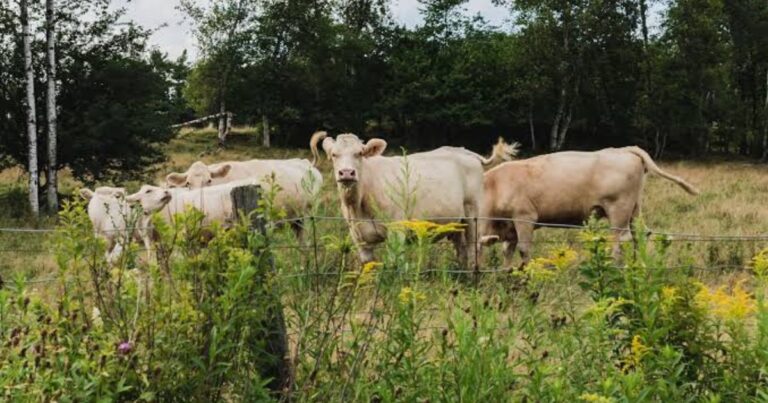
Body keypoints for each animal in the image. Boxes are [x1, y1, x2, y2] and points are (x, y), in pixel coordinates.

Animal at [310, 131, 517, 267]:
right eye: (334, 155)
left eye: (359, 153)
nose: (347, 173)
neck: (358, 203)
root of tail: (464, 151)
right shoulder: (359, 238)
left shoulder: (396, 231)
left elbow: (395, 265)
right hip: (456, 222)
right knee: (462, 252)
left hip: (473, 215)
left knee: (474, 249)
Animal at [478, 146, 699, 268]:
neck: (494, 186)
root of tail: (624, 149)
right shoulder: (510, 227)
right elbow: (507, 251)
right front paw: (507, 273)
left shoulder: (524, 217)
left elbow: (523, 250)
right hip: (635, 209)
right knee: (640, 236)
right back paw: (638, 266)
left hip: (619, 209)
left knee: (622, 240)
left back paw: (617, 268)